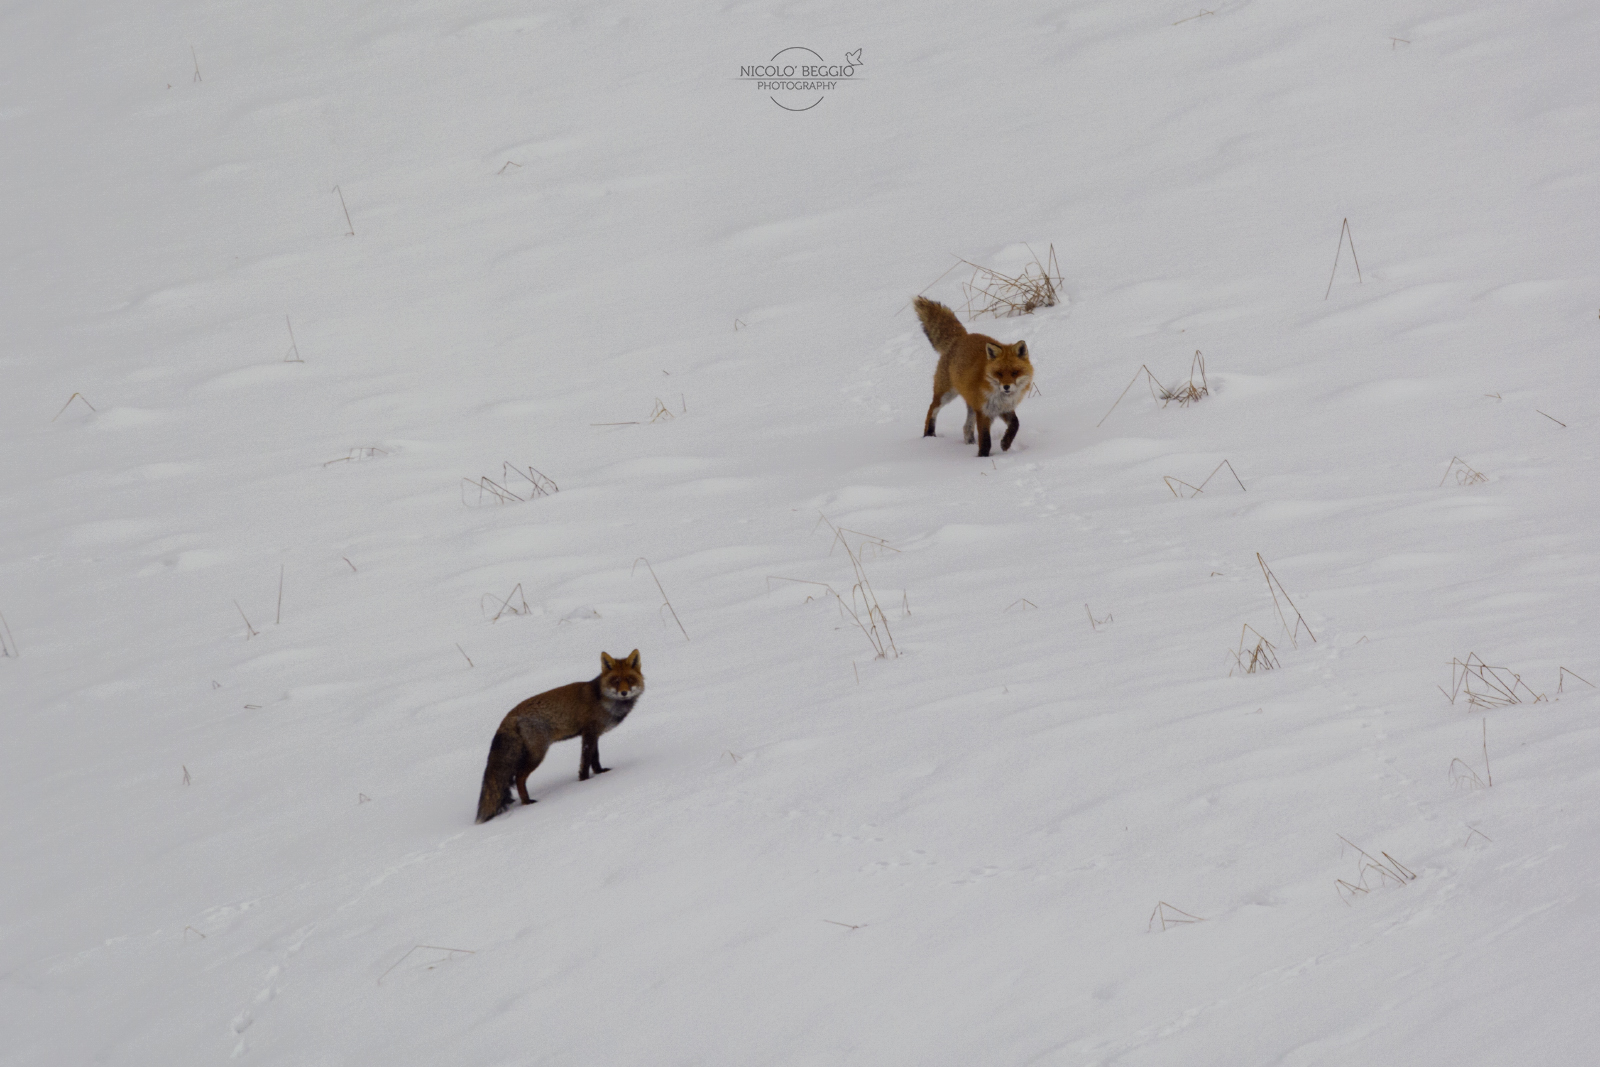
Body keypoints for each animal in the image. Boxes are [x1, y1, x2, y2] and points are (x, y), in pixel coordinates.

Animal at [474, 650, 645, 824]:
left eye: (629, 679)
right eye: (615, 681)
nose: (624, 693)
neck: (603, 699)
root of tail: (509, 716)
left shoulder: (595, 735)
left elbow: (595, 759)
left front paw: (600, 773)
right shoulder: (589, 734)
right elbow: (585, 762)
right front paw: (585, 781)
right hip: (537, 754)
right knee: (519, 777)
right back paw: (527, 802)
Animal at [915, 296, 1034, 457]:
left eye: (1015, 372)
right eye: (999, 373)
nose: (1006, 387)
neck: (999, 396)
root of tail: (962, 337)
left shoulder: (1003, 409)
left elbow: (1015, 424)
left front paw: (1005, 443)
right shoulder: (983, 411)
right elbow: (985, 439)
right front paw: (982, 457)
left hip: (970, 403)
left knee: (966, 427)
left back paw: (969, 442)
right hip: (947, 394)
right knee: (932, 409)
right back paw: (929, 435)